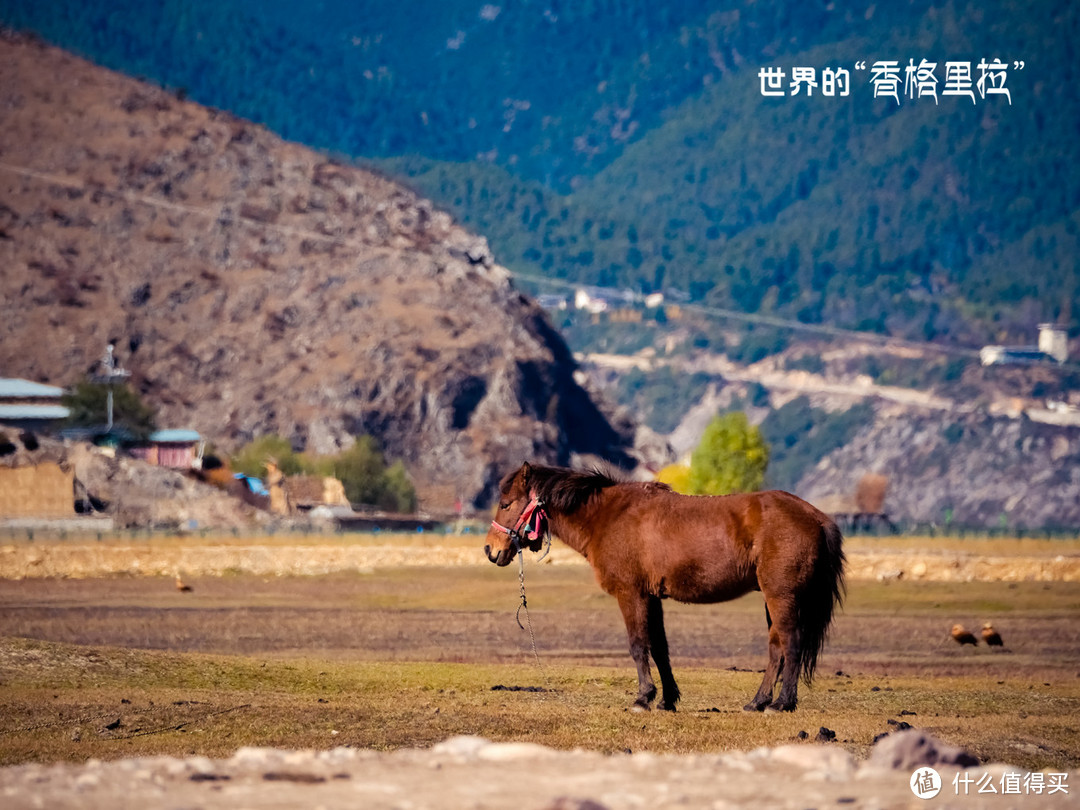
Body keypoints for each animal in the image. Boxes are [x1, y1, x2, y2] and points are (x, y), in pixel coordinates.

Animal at [486, 466, 846, 712]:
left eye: (506, 503)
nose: (491, 549)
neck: (608, 516)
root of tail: (816, 517)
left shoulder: (631, 595)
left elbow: (637, 645)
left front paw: (643, 698)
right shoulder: (651, 597)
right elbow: (659, 647)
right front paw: (667, 699)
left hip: (782, 597)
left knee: (791, 644)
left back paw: (781, 703)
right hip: (775, 600)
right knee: (777, 648)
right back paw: (758, 701)